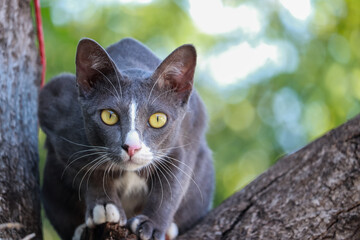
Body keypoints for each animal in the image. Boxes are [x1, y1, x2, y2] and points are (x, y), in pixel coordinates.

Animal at [39, 37, 214, 240]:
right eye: (109, 116)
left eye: (158, 119)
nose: (132, 147)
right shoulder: (55, 104)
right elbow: (87, 167)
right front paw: (105, 207)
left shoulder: (191, 126)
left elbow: (173, 183)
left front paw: (151, 225)